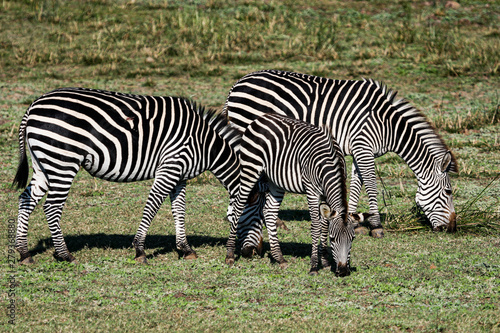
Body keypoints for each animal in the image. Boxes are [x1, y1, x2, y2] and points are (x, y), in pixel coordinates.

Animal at [11, 87, 264, 264]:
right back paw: (65, 255)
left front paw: (185, 249)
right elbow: (152, 206)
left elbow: (179, 210)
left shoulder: (180, 175)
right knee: (51, 207)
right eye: (258, 218)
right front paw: (140, 250)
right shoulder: (170, 166)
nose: (255, 252)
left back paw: (24, 253)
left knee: (26, 199)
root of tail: (32, 106)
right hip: (62, 161)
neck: (205, 144)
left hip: (44, 163)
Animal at [225, 70, 458, 250]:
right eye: (448, 192)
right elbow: (370, 184)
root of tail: (237, 84)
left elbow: (356, 185)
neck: (388, 125)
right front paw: (377, 227)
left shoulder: (360, 150)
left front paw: (353, 221)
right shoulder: (363, 146)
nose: (452, 229)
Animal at [225, 112, 358, 274]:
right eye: (333, 239)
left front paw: (325, 261)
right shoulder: (312, 191)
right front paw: (314, 265)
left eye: (352, 239)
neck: (330, 166)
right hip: (250, 168)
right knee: (238, 207)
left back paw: (280, 258)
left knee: (269, 212)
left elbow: (325, 225)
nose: (344, 271)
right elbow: (316, 226)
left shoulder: (326, 195)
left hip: (275, 181)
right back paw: (230, 255)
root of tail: (261, 117)